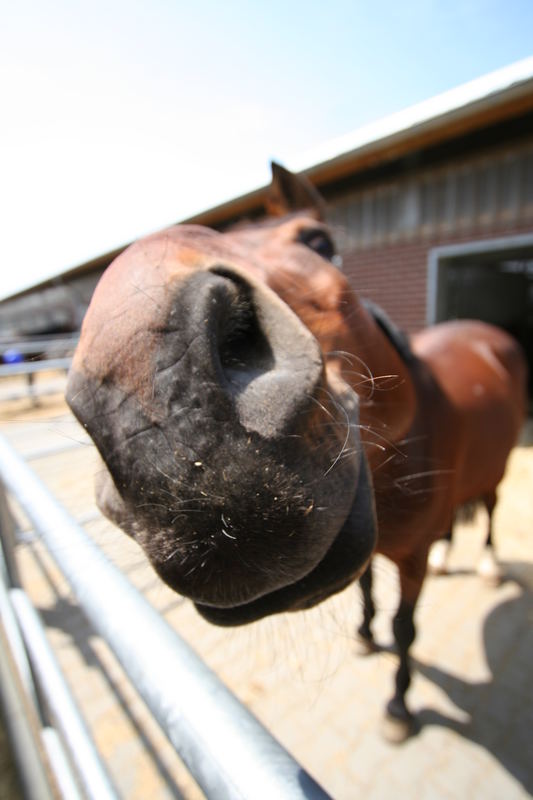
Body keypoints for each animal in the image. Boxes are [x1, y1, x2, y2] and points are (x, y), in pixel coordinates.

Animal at [64, 164, 524, 744]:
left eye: (320, 242)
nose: (163, 418)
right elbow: (368, 587)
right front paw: (365, 635)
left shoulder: (410, 558)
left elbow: (405, 627)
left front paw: (399, 706)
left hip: (498, 471)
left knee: (489, 508)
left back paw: (486, 564)